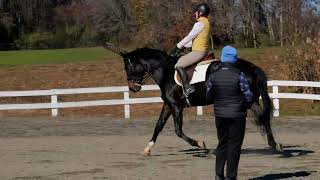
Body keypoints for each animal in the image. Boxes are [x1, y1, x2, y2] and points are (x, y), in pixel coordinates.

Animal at [104, 43, 282, 155]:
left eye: (127, 67)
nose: (132, 88)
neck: (166, 71)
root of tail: (251, 67)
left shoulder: (176, 106)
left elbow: (178, 130)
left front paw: (200, 144)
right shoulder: (168, 105)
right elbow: (158, 126)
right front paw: (148, 148)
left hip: (246, 100)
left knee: (260, 118)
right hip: (251, 100)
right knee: (264, 117)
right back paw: (273, 144)